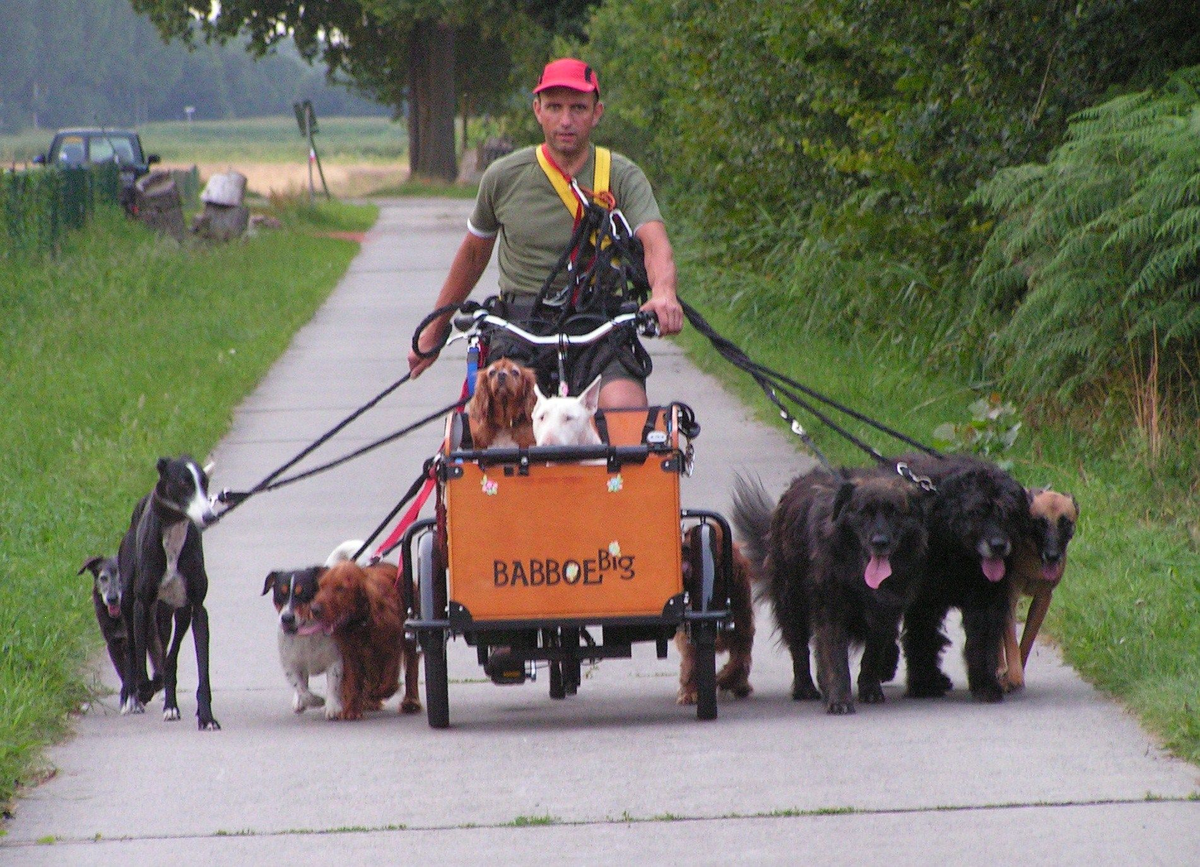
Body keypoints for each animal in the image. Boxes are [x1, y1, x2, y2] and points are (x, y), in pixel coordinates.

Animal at [309, 547, 422, 715]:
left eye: (341, 588)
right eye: (321, 586)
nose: (314, 609)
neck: (360, 623)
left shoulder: (391, 647)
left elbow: (389, 678)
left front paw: (379, 692)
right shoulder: (350, 652)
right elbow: (353, 681)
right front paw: (351, 710)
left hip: (410, 636)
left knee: (411, 670)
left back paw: (410, 702)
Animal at [729, 468, 926, 710]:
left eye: (894, 513)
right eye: (864, 513)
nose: (880, 542)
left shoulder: (886, 613)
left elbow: (872, 652)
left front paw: (869, 688)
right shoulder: (831, 610)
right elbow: (835, 657)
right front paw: (840, 698)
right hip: (791, 603)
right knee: (800, 649)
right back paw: (805, 687)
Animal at [902, 451, 1032, 701]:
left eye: (1009, 513)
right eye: (977, 512)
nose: (998, 545)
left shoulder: (986, 598)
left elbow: (982, 641)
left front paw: (985, 684)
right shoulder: (923, 601)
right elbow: (921, 637)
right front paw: (923, 684)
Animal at [998, 485, 1084, 686]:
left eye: (1065, 523)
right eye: (1039, 522)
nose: (1052, 556)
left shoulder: (1043, 599)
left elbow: (1027, 641)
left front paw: (1015, 672)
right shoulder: (1009, 596)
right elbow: (1011, 641)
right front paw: (1012, 675)